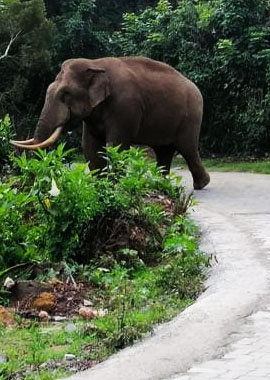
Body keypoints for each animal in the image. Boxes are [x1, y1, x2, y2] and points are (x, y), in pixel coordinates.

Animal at [11, 56, 210, 190]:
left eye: (65, 94)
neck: (95, 64)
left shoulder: (124, 106)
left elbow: (116, 146)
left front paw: (114, 185)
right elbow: (90, 146)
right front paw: (100, 184)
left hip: (191, 116)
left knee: (187, 148)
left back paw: (201, 184)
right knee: (164, 151)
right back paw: (161, 183)